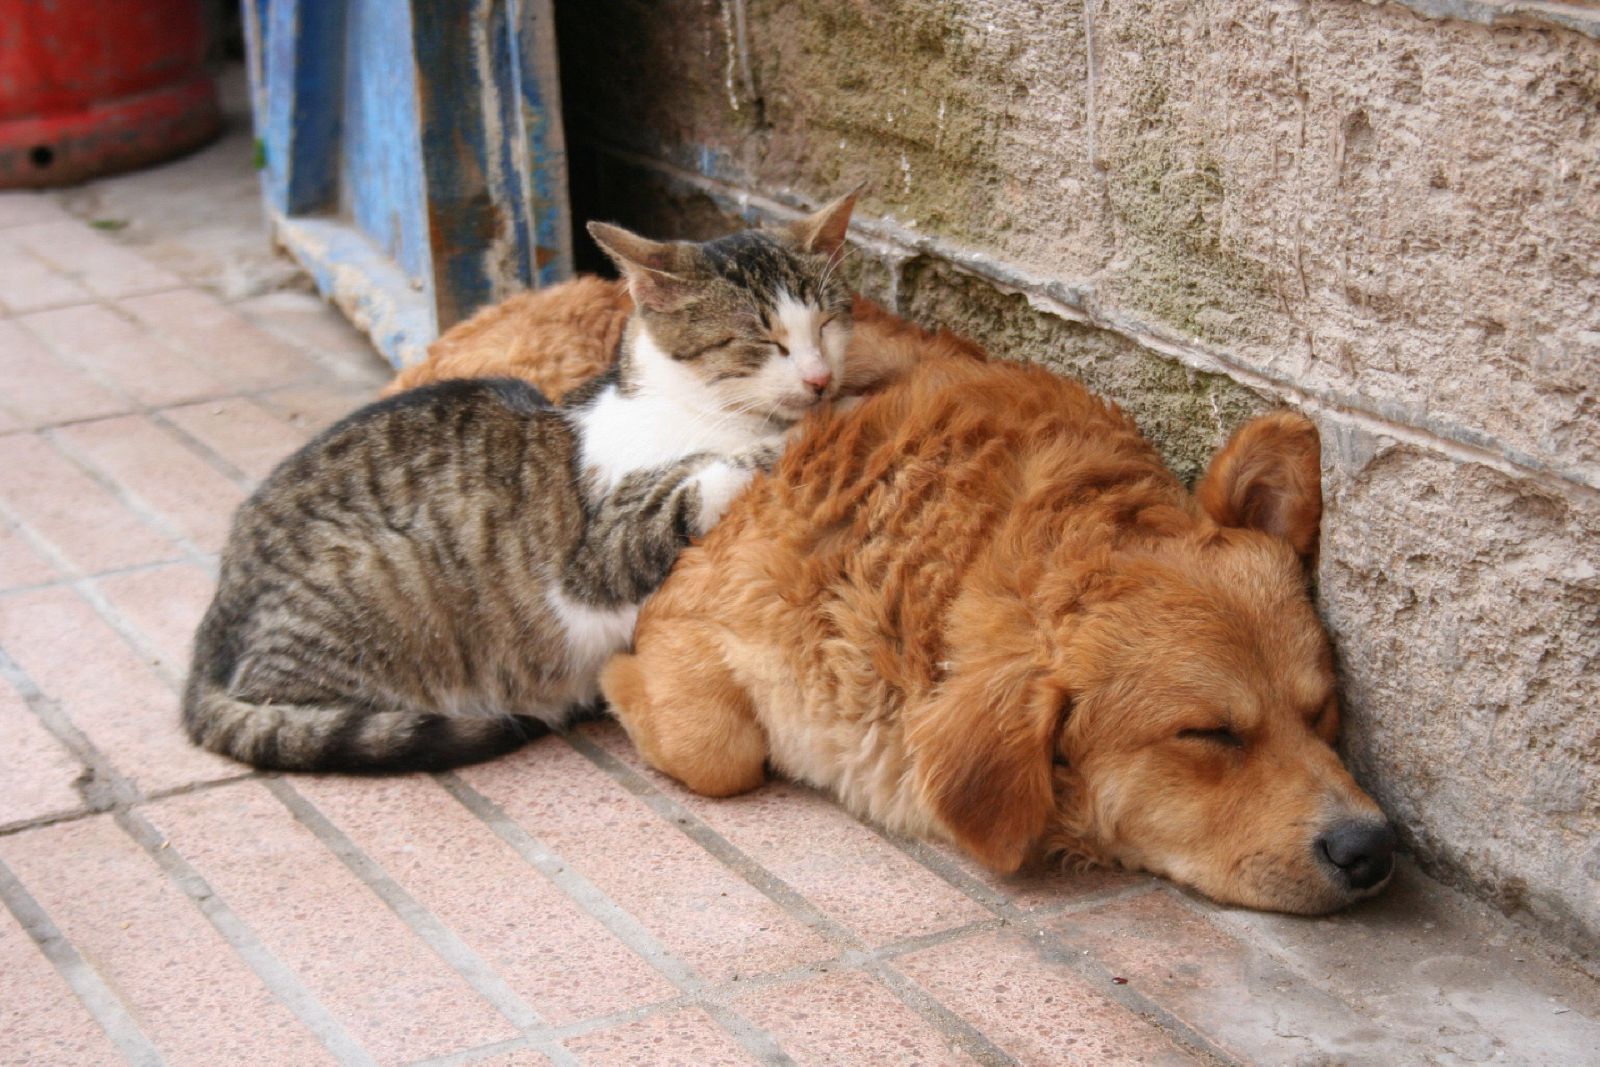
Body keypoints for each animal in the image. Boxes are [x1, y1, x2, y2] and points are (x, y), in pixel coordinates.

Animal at [184, 191, 864, 771]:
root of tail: (213, 624)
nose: (819, 379)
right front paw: (803, 429)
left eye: (828, 324)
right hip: (372, 586)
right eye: (764, 339)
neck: (687, 404)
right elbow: (710, 476)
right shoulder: (600, 555)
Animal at [604, 355, 1395, 915]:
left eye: (1322, 711)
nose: (1370, 848)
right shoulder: (699, 602)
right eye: (1207, 734)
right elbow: (717, 747)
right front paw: (615, 679)